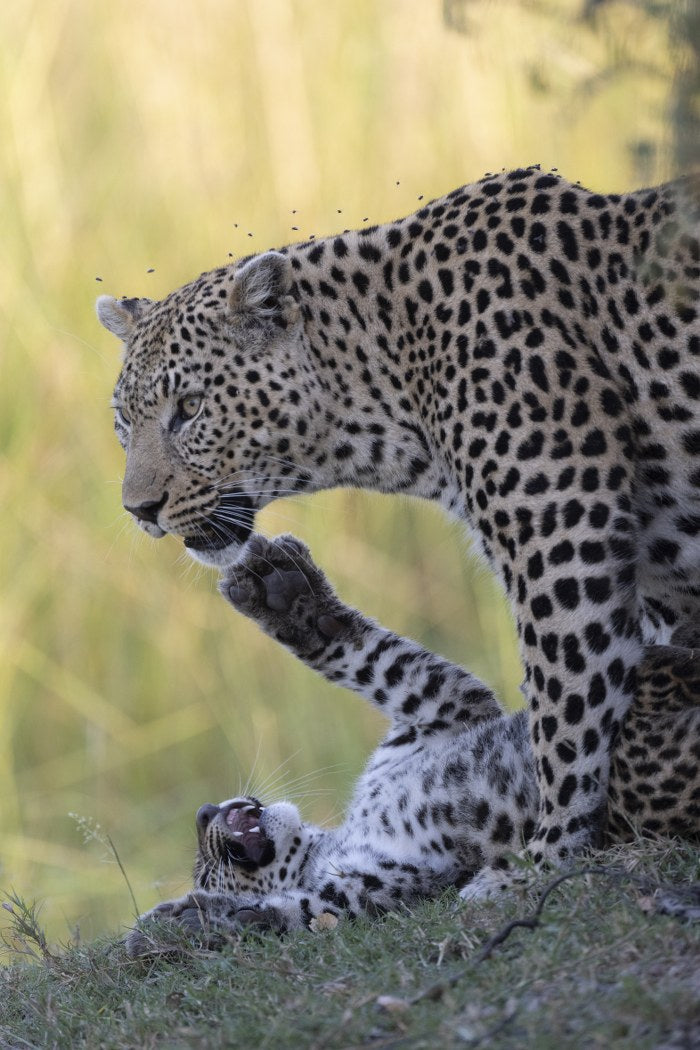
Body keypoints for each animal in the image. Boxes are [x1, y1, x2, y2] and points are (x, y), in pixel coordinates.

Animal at [97, 165, 700, 886]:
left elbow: (566, 710)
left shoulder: (562, 542)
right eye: (124, 423)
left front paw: (545, 859)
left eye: (189, 409)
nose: (139, 509)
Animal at [125, 534, 700, 956]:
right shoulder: (403, 873)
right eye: (203, 870)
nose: (203, 811)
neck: (329, 841)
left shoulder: (449, 711)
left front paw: (285, 593)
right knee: (650, 684)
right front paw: (196, 921)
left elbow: (380, 660)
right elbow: (315, 909)